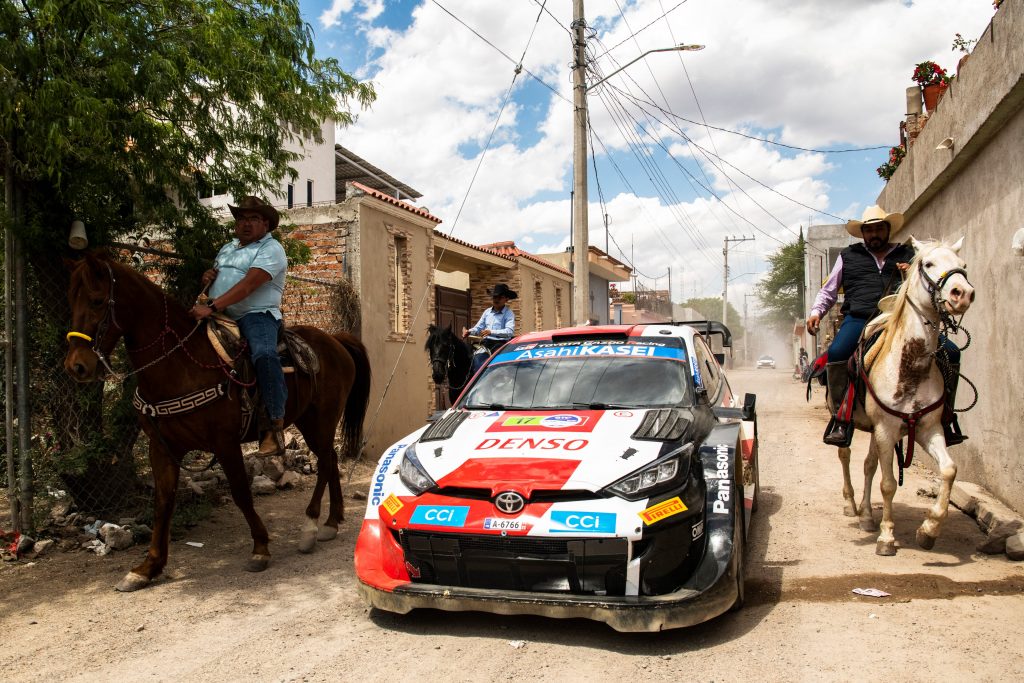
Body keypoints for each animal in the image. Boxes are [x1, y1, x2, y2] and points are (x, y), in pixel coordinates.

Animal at [62, 252, 372, 593]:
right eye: (71, 300)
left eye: (97, 300)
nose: (76, 367)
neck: (178, 365)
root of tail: (335, 340)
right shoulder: (163, 447)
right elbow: (163, 502)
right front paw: (147, 568)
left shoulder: (225, 443)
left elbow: (240, 493)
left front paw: (260, 548)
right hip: (310, 422)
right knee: (331, 459)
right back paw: (331, 522)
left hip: (321, 420)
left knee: (326, 462)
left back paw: (310, 527)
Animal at [831, 237, 974, 557]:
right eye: (928, 264)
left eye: (963, 265)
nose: (962, 294)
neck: (911, 367)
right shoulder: (886, 430)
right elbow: (888, 484)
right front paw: (886, 538)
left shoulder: (927, 428)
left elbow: (949, 470)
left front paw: (929, 529)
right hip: (850, 420)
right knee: (846, 456)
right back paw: (850, 504)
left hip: (879, 431)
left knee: (868, 465)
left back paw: (867, 516)